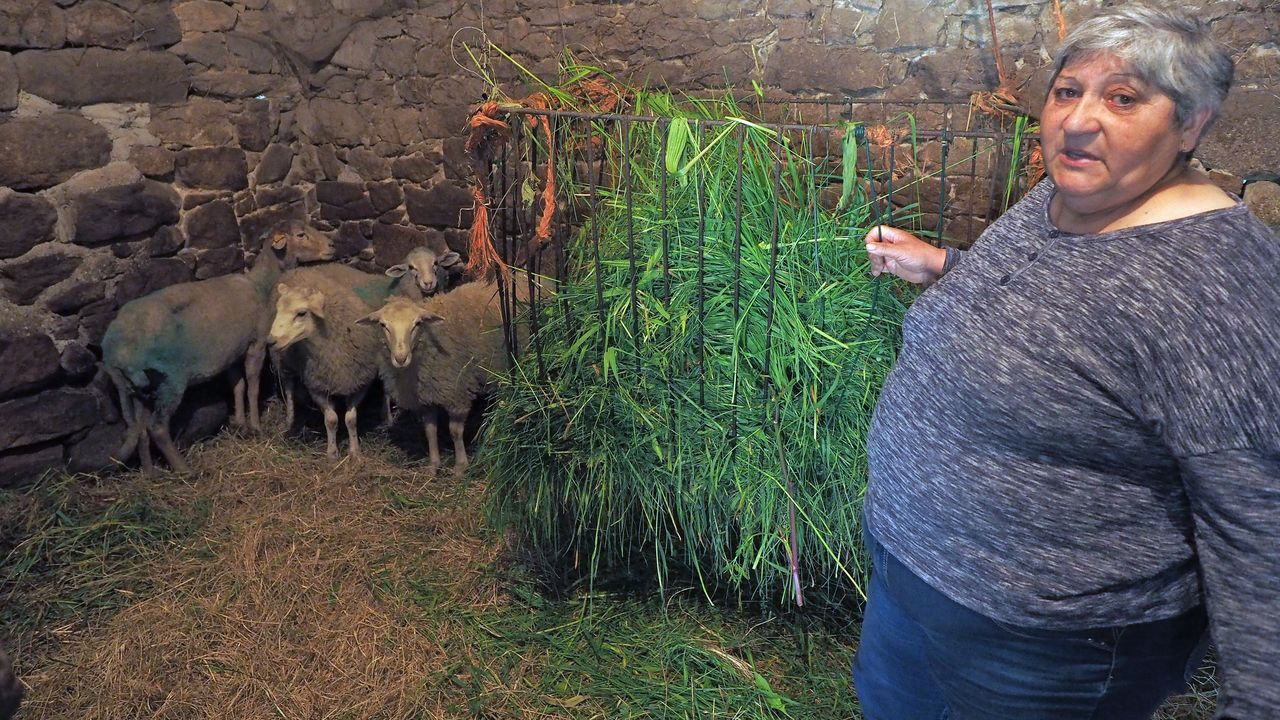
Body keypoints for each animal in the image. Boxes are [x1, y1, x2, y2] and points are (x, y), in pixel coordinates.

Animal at [103, 221, 335, 474]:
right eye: (301, 235)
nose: (332, 245)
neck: (261, 285)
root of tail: (112, 350)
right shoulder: (256, 344)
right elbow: (252, 385)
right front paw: (256, 426)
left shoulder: (231, 353)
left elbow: (237, 385)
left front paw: (240, 423)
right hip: (170, 379)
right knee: (157, 427)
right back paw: (185, 470)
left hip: (139, 389)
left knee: (141, 429)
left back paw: (149, 473)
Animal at [267, 265, 386, 458]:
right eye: (278, 310)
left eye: (301, 313)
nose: (270, 341)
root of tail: (301, 268)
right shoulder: (317, 385)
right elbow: (331, 420)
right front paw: (332, 453)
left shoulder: (359, 382)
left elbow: (351, 419)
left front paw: (355, 452)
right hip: (283, 362)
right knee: (289, 389)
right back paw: (290, 419)